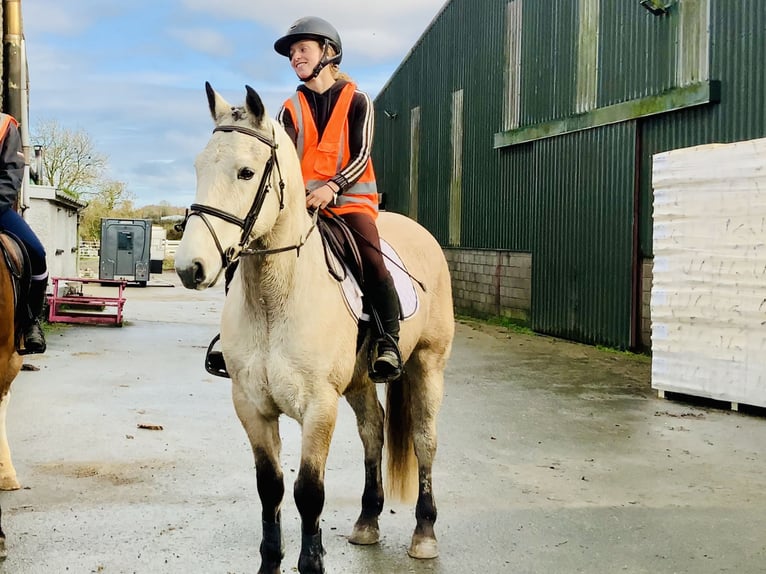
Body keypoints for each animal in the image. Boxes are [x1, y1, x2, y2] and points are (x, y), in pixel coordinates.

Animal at [175, 82, 454, 574]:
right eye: (198, 167)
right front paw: (271, 561)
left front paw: (312, 561)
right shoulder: (251, 405)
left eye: (246, 172)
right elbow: (270, 487)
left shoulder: (319, 406)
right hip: (361, 379)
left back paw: (424, 533)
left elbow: (309, 491)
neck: (276, 298)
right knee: (373, 431)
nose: (191, 268)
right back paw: (367, 521)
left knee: (424, 441)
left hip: (428, 364)